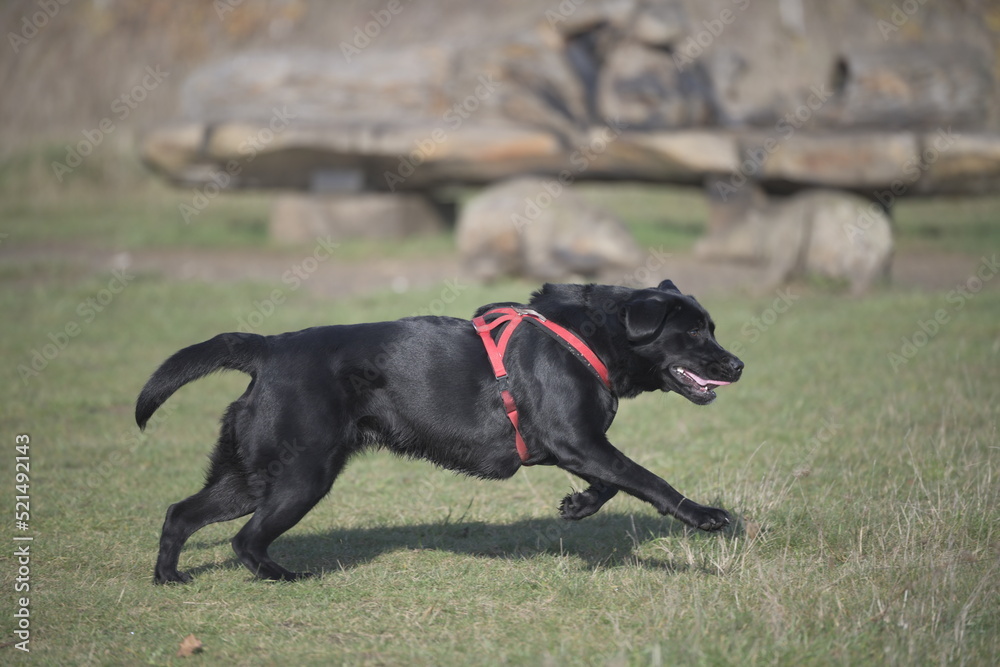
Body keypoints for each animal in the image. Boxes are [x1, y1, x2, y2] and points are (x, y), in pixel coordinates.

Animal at [135, 282, 744, 584]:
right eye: (693, 332)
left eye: (712, 327)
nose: (738, 364)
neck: (586, 337)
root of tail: (268, 347)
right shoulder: (577, 440)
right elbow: (646, 480)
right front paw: (705, 516)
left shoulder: (576, 446)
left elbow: (612, 482)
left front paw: (577, 505)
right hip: (299, 477)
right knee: (244, 540)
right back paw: (283, 577)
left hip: (250, 475)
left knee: (180, 513)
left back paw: (169, 578)